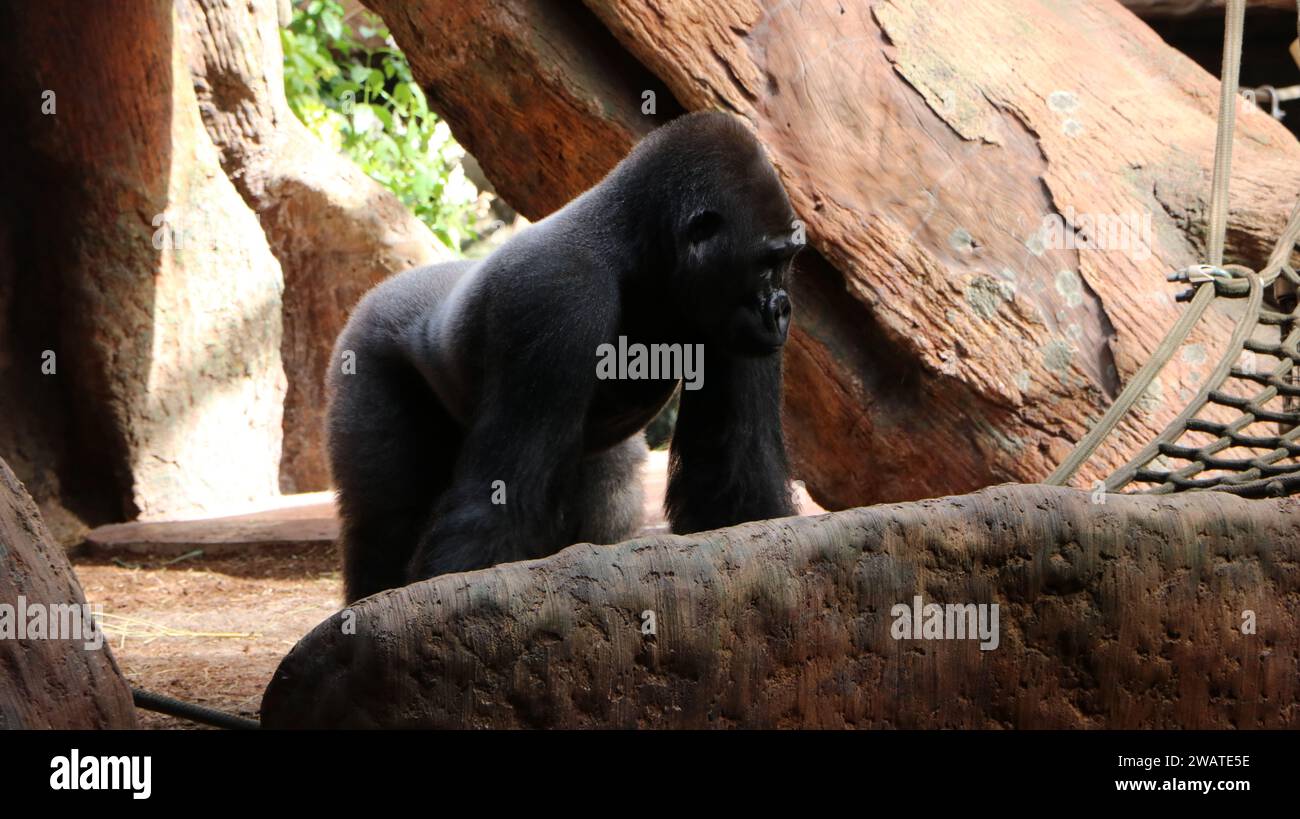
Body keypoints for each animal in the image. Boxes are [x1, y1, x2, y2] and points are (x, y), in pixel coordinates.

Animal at [327, 110, 800, 603]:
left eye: (787, 260)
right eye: (767, 262)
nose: (782, 309)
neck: (636, 249)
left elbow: (737, 473)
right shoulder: (558, 294)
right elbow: (498, 502)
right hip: (364, 347)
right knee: (384, 520)